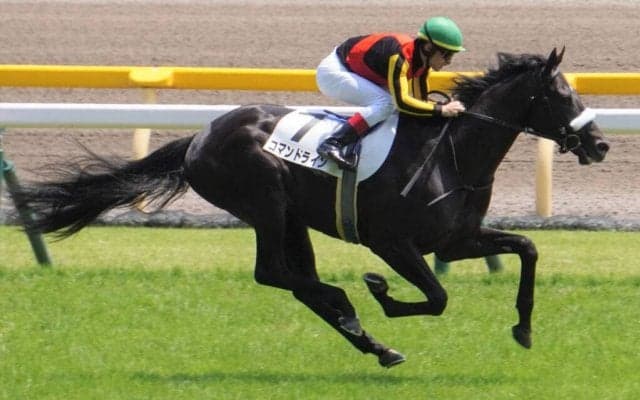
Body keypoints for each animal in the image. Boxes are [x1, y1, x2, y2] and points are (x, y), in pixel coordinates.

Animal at [16, 48, 609, 368]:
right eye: (561, 96)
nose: (600, 144)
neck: (454, 154)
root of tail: (198, 138)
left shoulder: (454, 240)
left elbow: (527, 248)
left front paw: (524, 329)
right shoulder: (391, 242)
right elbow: (437, 297)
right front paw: (380, 292)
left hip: (290, 218)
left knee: (293, 279)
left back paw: (369, 339)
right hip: (265, 204)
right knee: (277, 274)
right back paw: (351, 306)